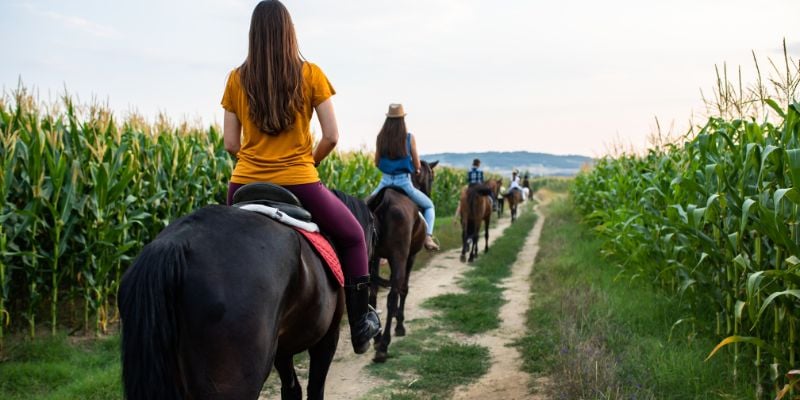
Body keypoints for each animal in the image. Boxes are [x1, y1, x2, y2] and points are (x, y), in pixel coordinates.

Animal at [117, 190, 374, 400]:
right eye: (373, 227)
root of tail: (176, 244)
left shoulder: (282, 347)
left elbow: (292, 389)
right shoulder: (328, 336)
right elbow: (314, 390)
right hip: (232, 381)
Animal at [368, 159, 438, 362]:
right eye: (432, 177)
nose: (429, 194)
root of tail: (383, 201)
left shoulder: (381, 257)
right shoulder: (408, 256)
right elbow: (403, 289)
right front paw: (399, 324)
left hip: (372, 256)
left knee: (373, 293)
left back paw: (377, 339)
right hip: (399, 256)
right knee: (391, 296)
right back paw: (383, 345)